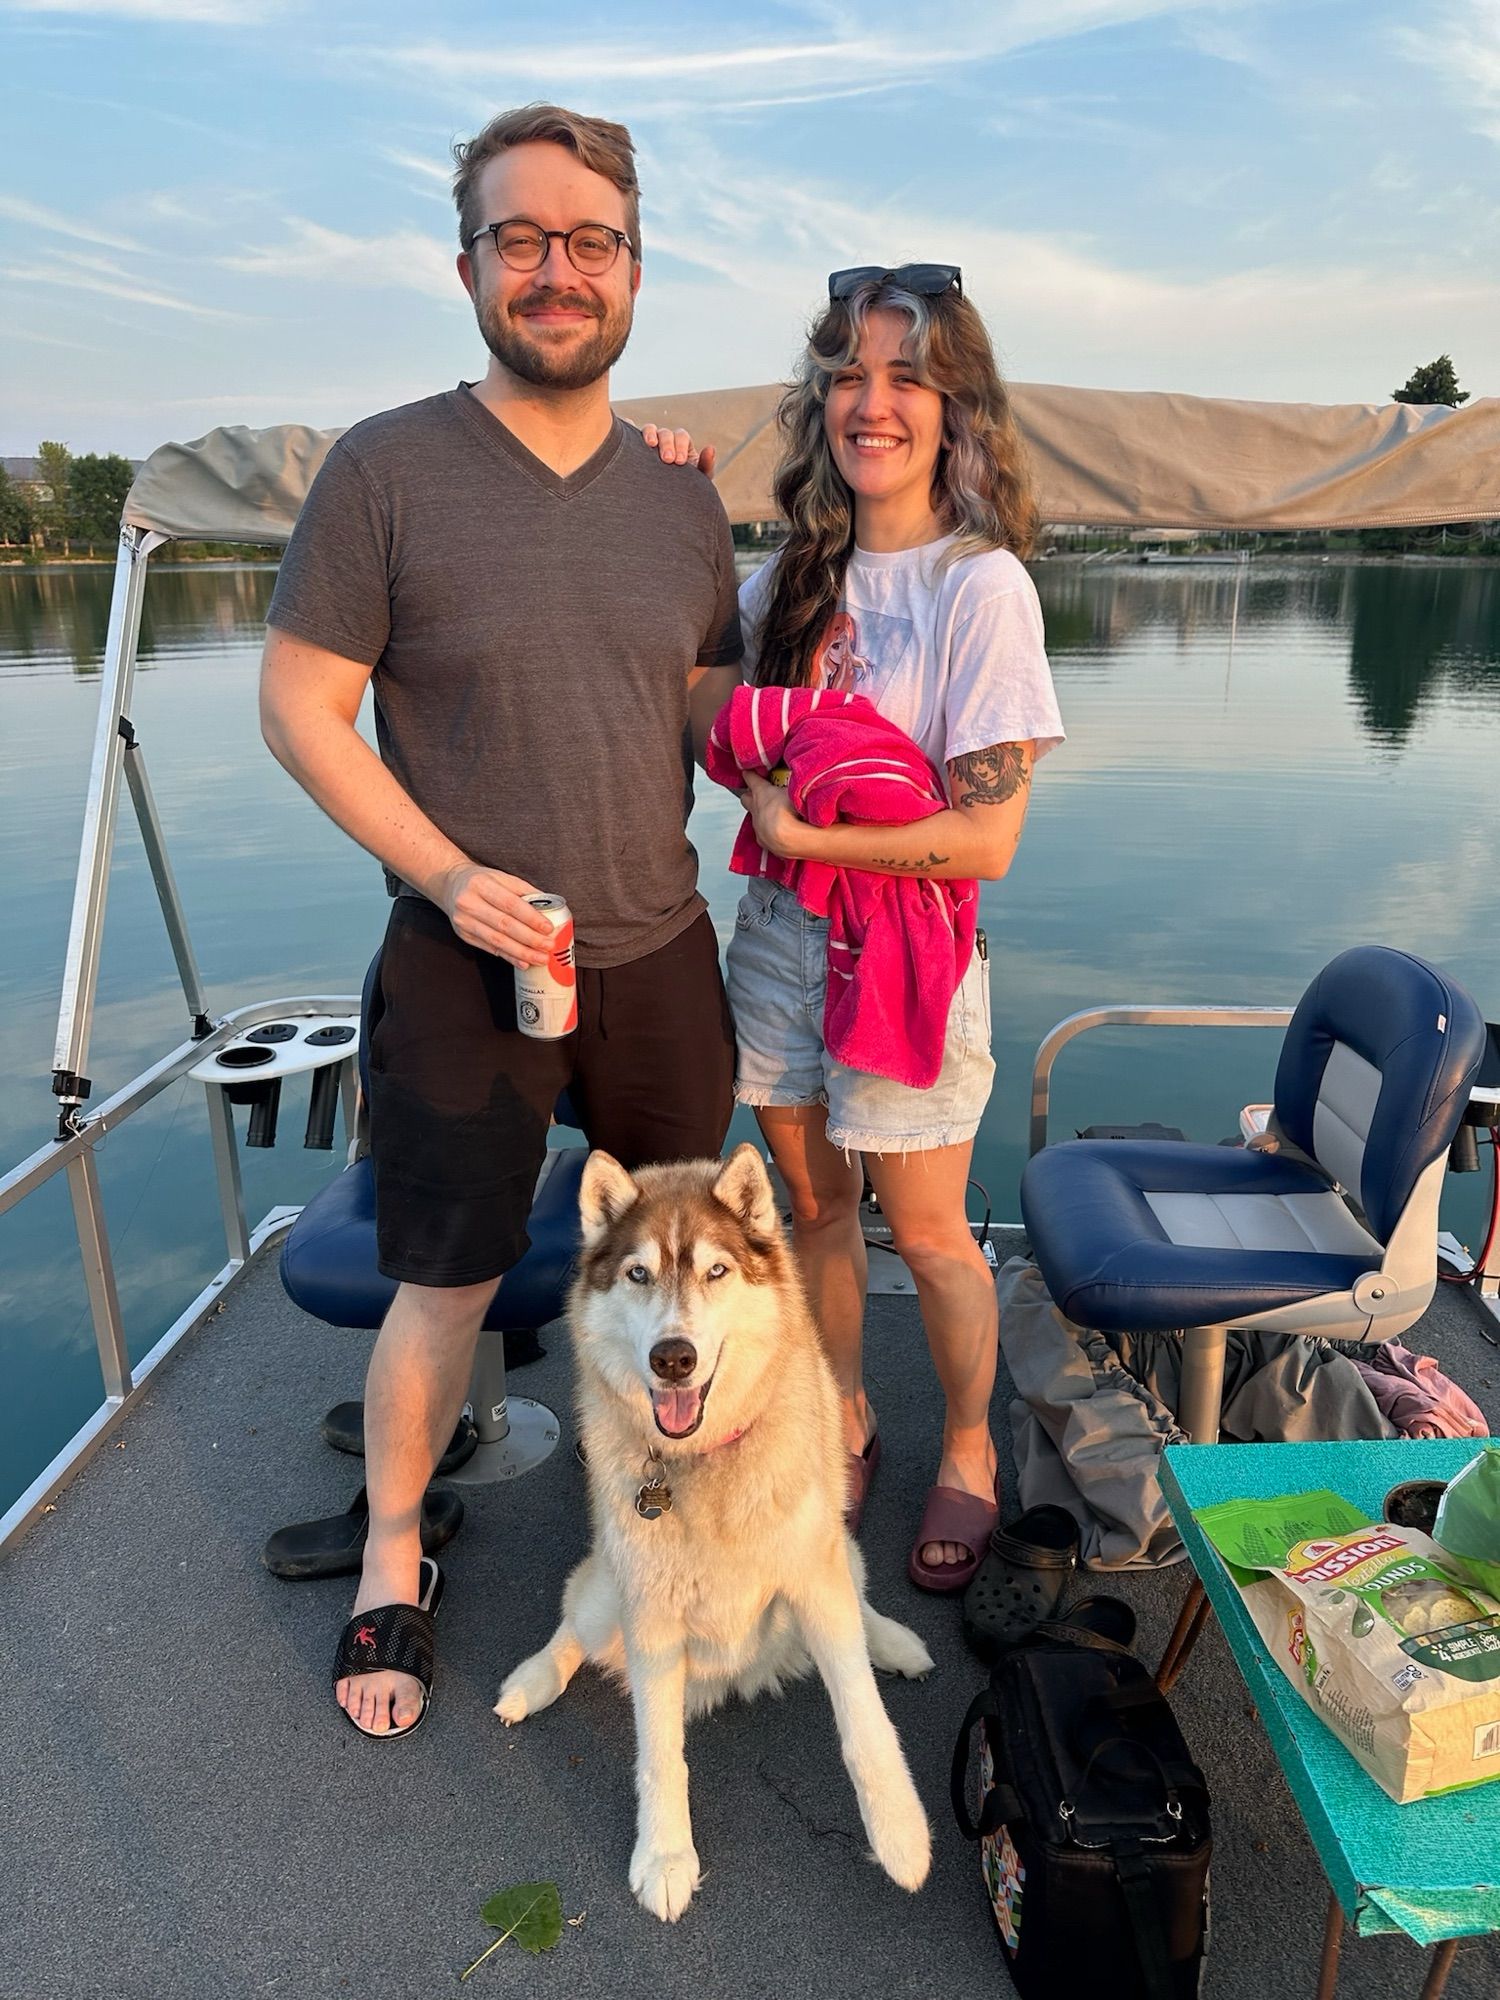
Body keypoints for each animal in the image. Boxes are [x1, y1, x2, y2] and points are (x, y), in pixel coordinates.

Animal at [500, 1144, 936, 1920]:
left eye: (716, 1271)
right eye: (638, 1273)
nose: (672, 1358)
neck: (706, 1461)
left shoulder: (814, 1573)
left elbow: (863, 1719)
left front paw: (901, 1835)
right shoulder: (649, 1613)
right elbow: (658, 1753)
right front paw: (665, 1855)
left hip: (838, 1547)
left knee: (860, 1603)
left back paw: (892, 1641)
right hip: (608, 1594)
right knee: (574, 1626)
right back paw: (532, 1680)